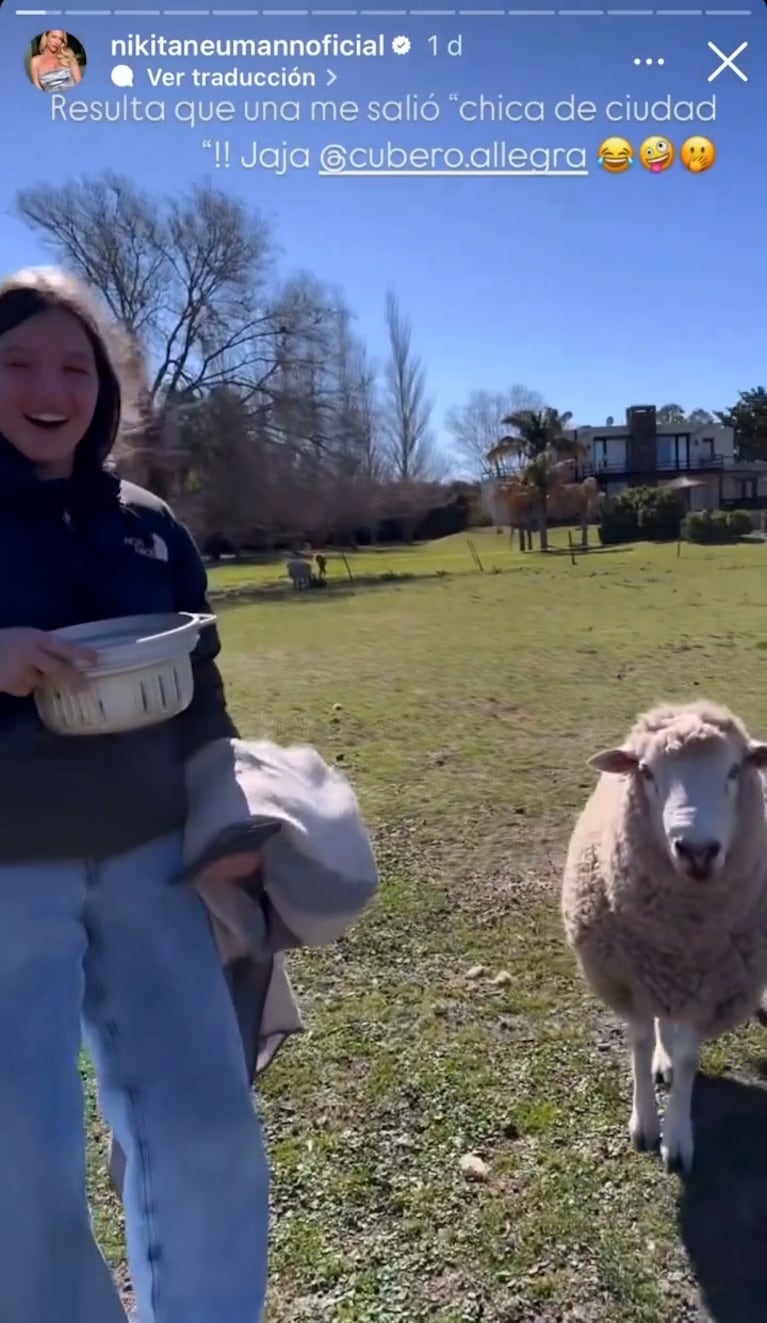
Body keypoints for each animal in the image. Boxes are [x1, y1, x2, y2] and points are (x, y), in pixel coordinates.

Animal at [560, 698, 767, 1174]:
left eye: (734, 770)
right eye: (647, 771)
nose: (697, 851)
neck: (681, 933)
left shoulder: (710, 990)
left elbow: (689, 1055)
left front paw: (676, 1137)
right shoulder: (628, 979)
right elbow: (638, 1040)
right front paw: (645, 1124)